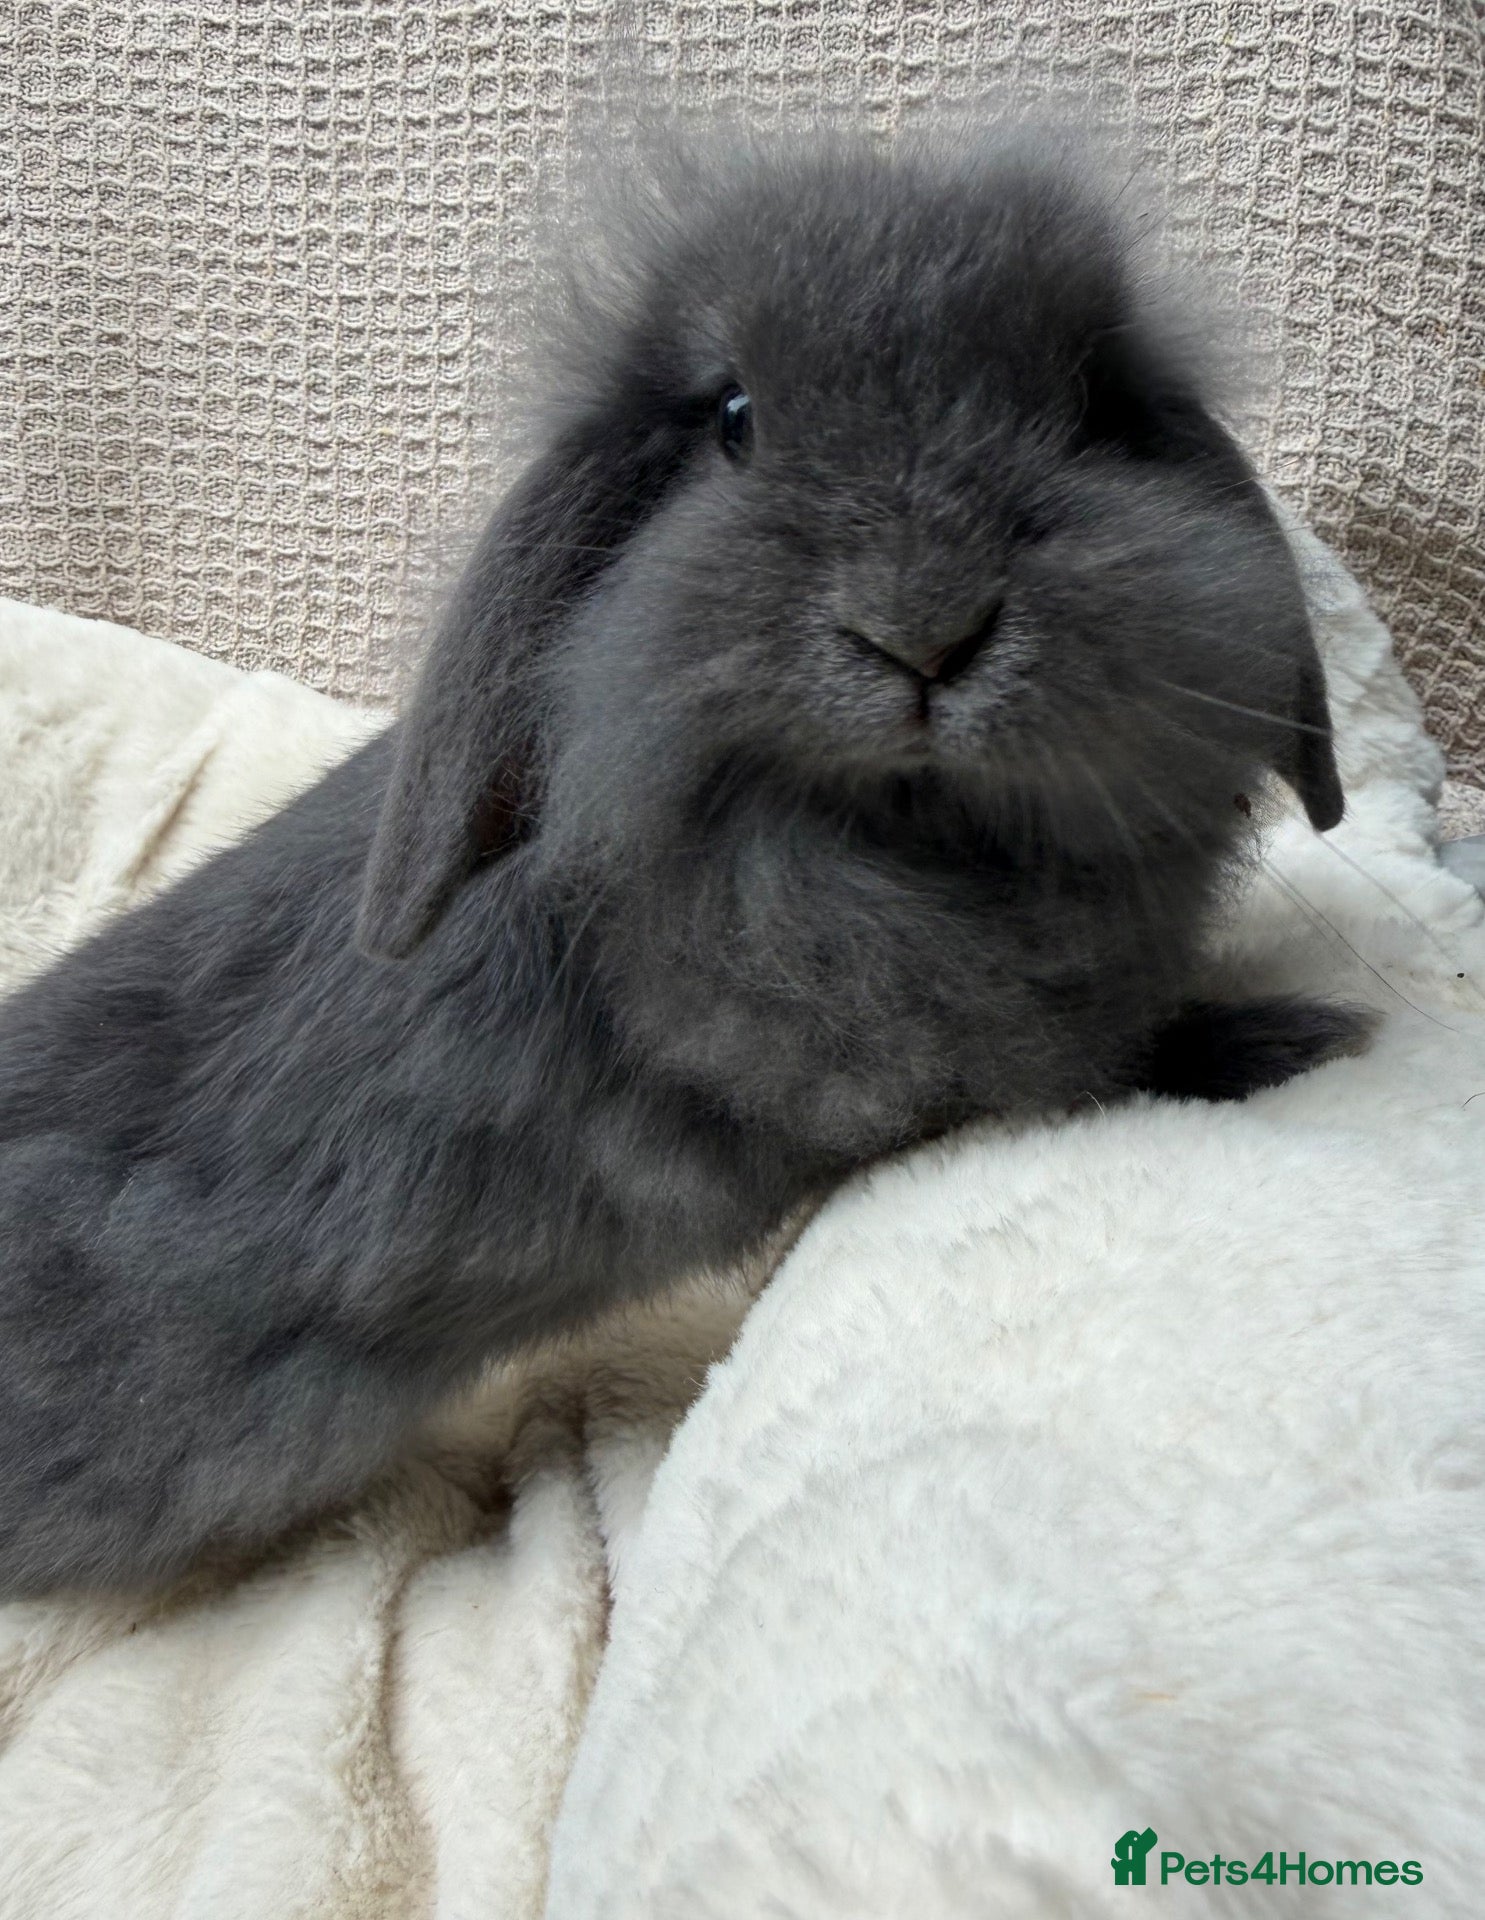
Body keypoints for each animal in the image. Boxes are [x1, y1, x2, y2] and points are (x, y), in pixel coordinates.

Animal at [0, 128, 1368, 1599]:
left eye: (1090, 409)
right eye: (733, 420)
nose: (924, 629)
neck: (909, 838)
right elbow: (1113, 1068)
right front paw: (1292, 1038)